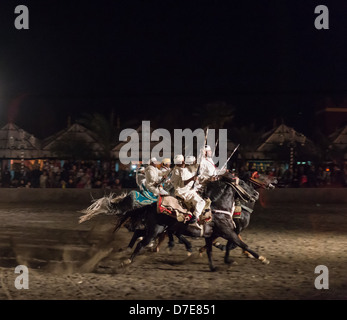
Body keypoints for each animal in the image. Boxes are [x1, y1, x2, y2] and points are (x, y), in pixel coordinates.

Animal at [111, 174, 270, 272]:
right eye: (243, 183)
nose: (255, 195)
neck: (218, 208)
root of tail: (152, 204)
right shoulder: (229, 232)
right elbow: (243, 244)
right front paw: (262, 258)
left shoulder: (210, 235)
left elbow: (210, 251)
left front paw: (213, 267)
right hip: (155, 230)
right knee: (140, 244)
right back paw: (127, 261)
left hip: (155, 229)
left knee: (140, 235)